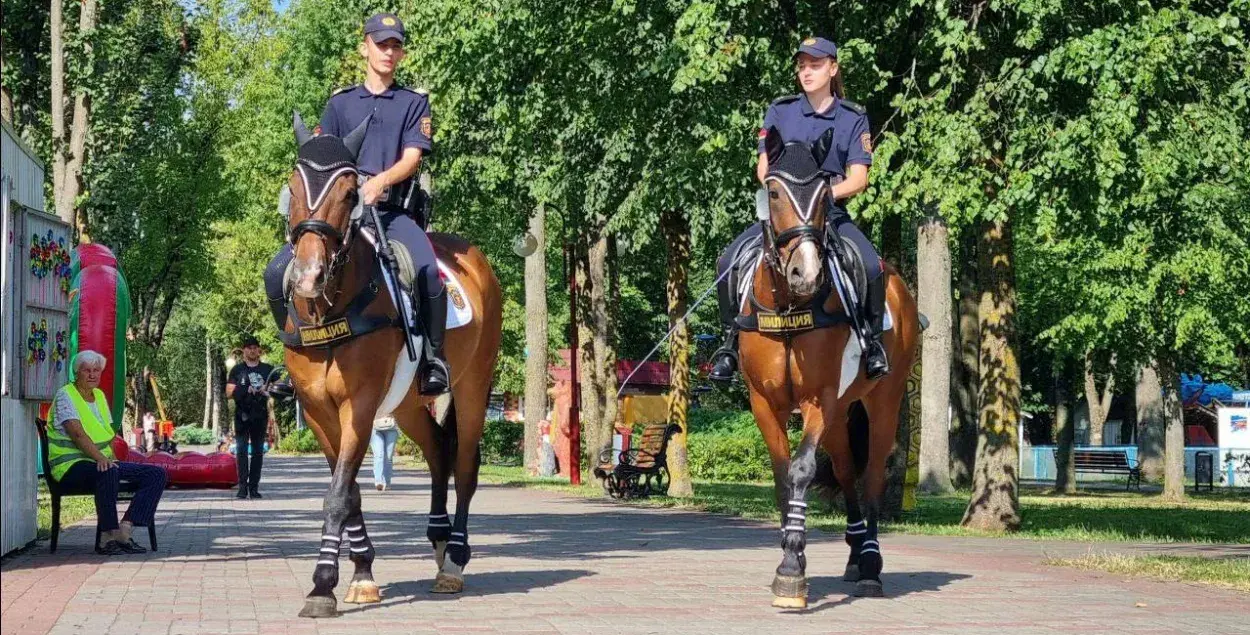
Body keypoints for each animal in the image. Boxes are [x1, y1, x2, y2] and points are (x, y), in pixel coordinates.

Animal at [281, 116, 500, 617]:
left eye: (349, 192)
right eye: (293, 187)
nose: (308, 276)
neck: (335, 307)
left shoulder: (359, 406)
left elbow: (338, 493)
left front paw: (323, 584)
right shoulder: (319, 411)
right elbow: (350, 491)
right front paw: (362, 573)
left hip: (474, 387)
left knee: (464, 463)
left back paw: (455, 558)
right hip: (407, 405)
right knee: (438, 451)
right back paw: (437, 540)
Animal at [735, 127, 925, 605]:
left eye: (825, 194)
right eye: (774, 192)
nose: (805, 273)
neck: (789, 307)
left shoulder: (818, 399)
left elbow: (802, 469)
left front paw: (791, 566)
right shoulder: (764, 402)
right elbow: (783, 478)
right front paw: (792, 554)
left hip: (883, 402)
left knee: (872, 475)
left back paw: (871, 563)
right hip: (842, 414)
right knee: (845, 470)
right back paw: (855, 554)